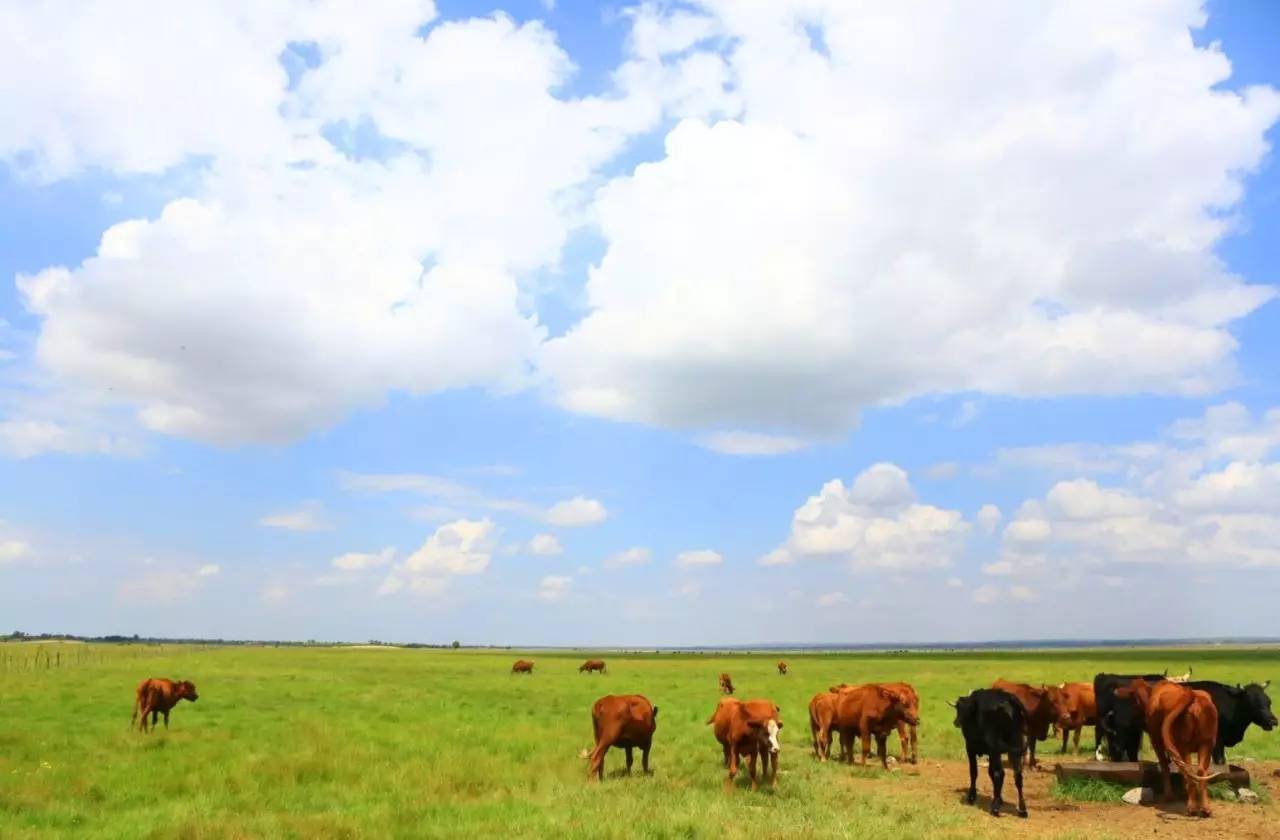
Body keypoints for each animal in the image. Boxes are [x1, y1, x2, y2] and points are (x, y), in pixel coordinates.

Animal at [952, 686, 1029, 819]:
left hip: (996, 747)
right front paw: (999, 798)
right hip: (1015, 745)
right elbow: (990, 772)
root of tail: (1008, 700)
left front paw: (972, 797)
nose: (956, 722)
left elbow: (974, 771)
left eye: (959, 709)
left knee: (1000, 773)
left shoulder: (971, 748)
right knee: (1018, 775)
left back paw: (995, 808)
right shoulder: (991, 753)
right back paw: (1022, 809)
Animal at [1111, 681, 1218, 819]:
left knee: (1189, 769)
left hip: (1184, 745)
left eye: (1133, 702)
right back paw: (1205, 808)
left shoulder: (1156, 741)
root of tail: (1193, 695)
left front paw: (1169, 795)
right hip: (1207, 743)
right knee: (1200, 771)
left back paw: (1192, 808)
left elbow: (1165, 766)